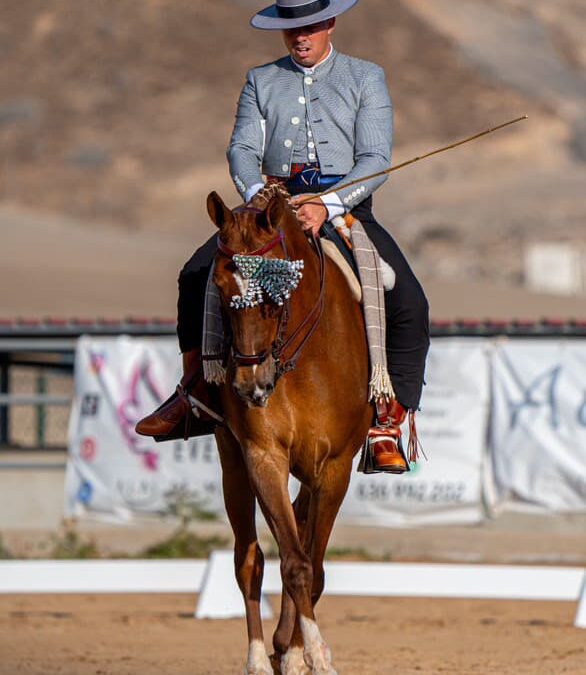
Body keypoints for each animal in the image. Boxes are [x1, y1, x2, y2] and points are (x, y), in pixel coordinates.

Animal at [205, 186, 370, 675]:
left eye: (276, 289)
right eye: (219, 286)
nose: (250, 385)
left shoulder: (334, 468)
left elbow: (312, 565)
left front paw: (309, 653)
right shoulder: (264, 456)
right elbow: (294, 563)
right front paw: (303, 652)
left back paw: (288, 648)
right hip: (232, 461)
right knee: (250, 559)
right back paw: (263, 656)